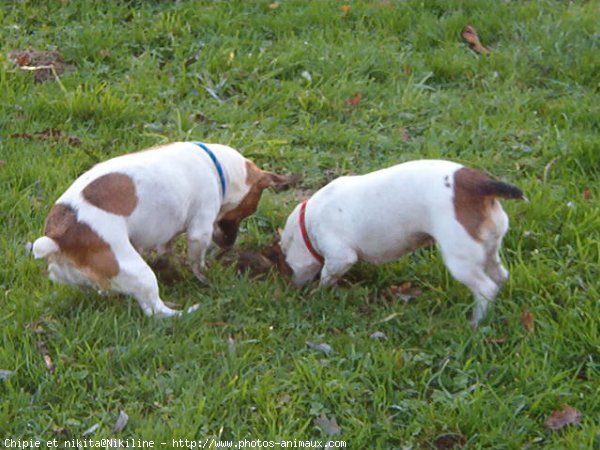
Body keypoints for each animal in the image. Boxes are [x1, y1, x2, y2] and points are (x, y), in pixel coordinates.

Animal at [278, 160, 524, 326]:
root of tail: (481, 185)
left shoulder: (340, 257)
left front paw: (319, 294)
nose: (293, 287)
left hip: (461, 261)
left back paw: (475, 323)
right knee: (500, 277)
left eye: (288, 265)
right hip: (490, 249)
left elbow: (326, 276)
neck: (307, 221)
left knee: (486, 288)